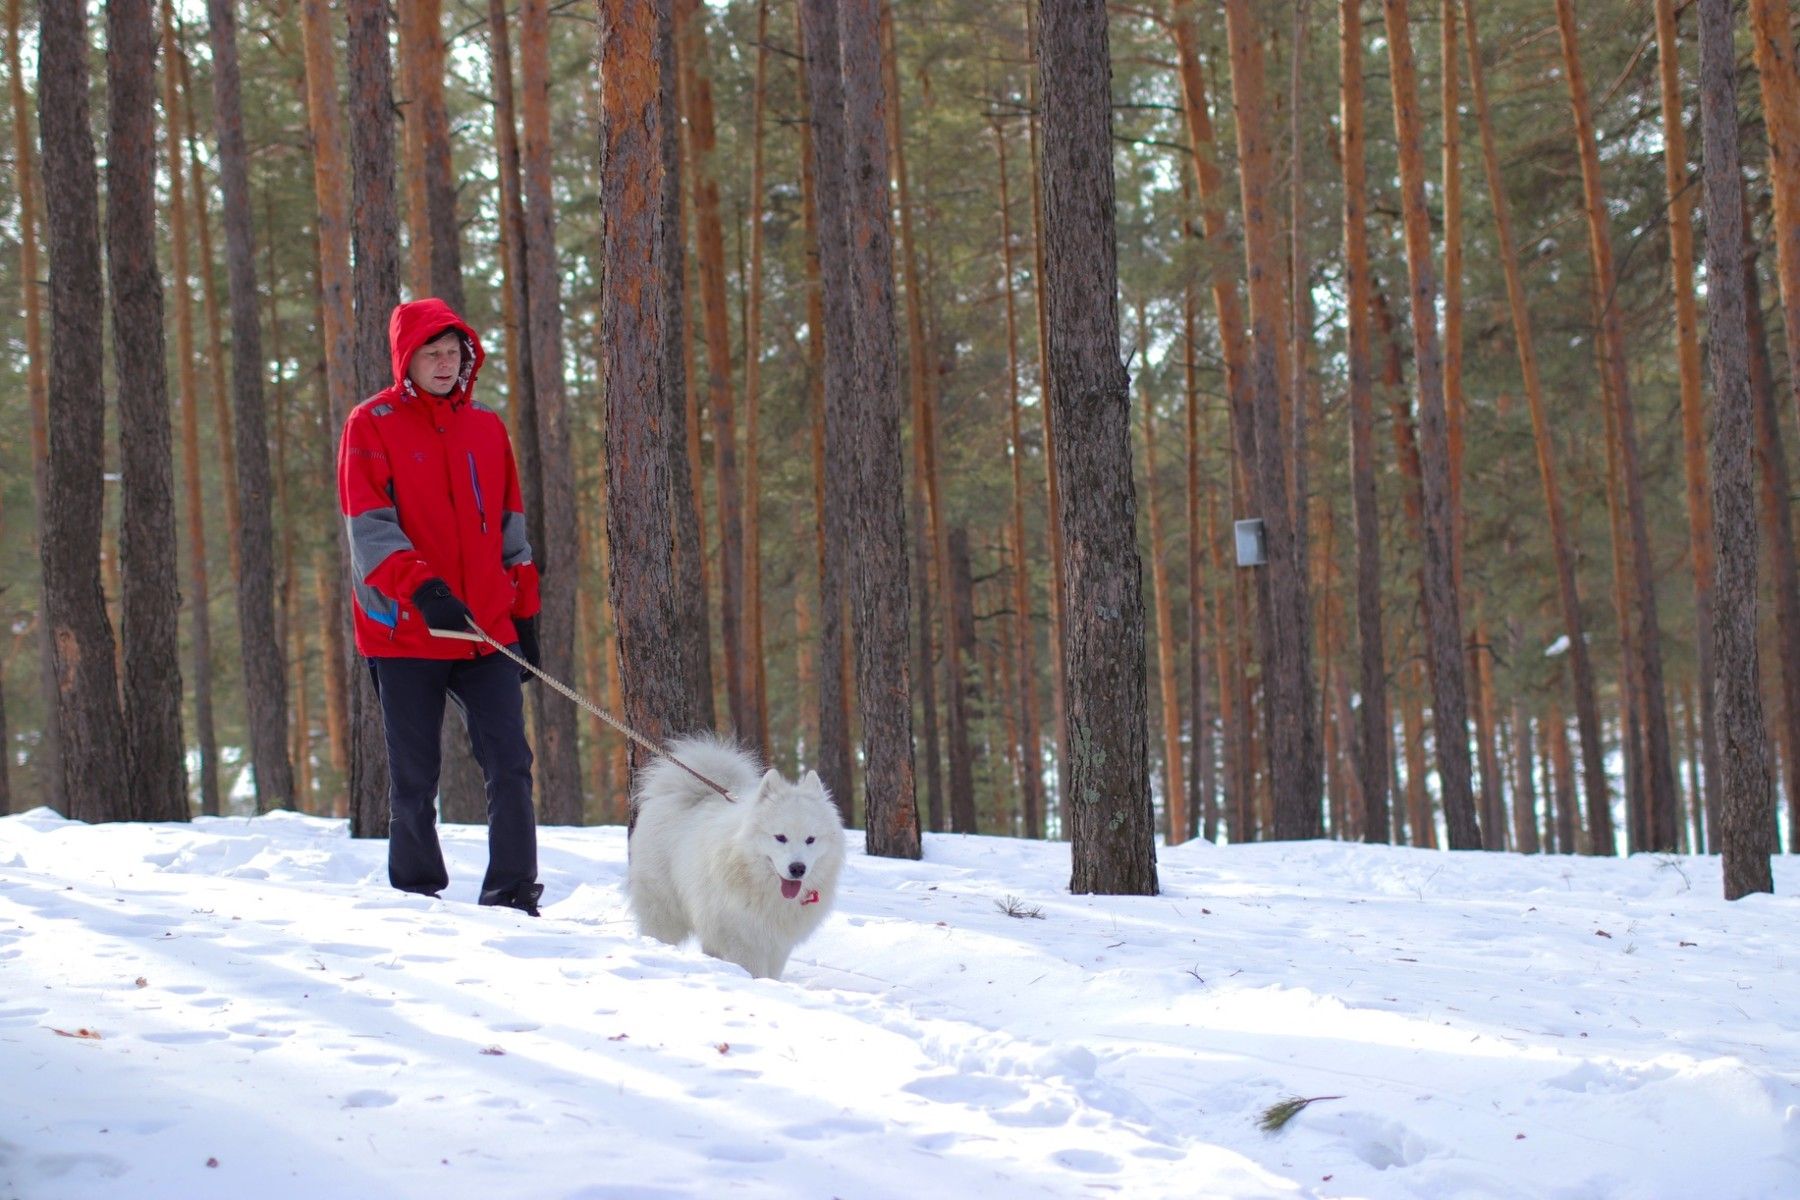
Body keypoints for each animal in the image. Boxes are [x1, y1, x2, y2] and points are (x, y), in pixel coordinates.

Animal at [630, 737, 846, 978]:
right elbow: (753, 971)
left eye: (810, 839)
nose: (798, 868)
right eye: (780, 837)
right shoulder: (743, 938)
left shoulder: (777, 945)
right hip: (663, 907)